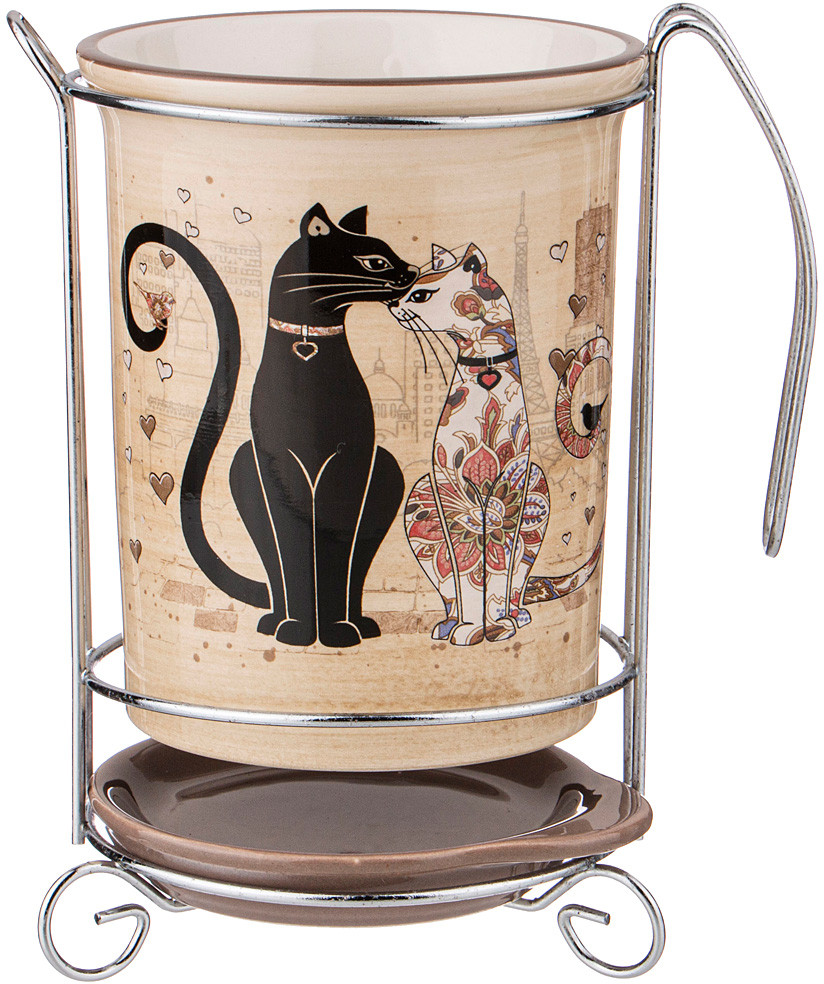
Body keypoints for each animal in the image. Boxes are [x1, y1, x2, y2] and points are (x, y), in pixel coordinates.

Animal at [122, 203, 418, 648]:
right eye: (376, 262)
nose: (413, 272)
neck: (309, 346)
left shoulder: (350, 462)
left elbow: (334, 549)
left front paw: (334, 631)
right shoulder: (276, 463)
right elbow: (293, 547)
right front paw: (301, 630)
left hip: (386, 468)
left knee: (354, 571)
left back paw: (355, 622)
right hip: (242, 464)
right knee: (277, 574)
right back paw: (280, 620)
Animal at [389, 242, 602, 646]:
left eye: (420, 294)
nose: (392, 303)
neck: (484, 365)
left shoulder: (510, 491)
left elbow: (496, 567)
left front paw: (497, 625)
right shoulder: (454, 492)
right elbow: (468, 570)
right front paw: (472, 628)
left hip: (537, 495)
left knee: (516, 586)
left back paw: (515, 615)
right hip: (418, 504)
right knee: (449, 594)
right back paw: (450, 624)